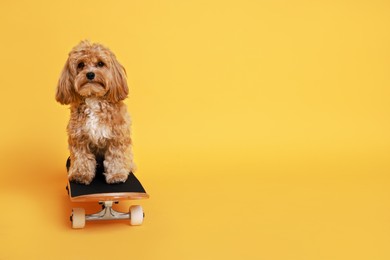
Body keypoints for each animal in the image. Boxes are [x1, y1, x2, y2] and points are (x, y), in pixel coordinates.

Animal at [54, 40, 134, 184]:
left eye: (100, 63)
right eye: (81, 64)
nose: (90, 74)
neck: (93, 98)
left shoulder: (117, 136)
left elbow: (116, 156)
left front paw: (117, 175)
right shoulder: (78, 137)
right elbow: (82, 157)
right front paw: (81, 174)